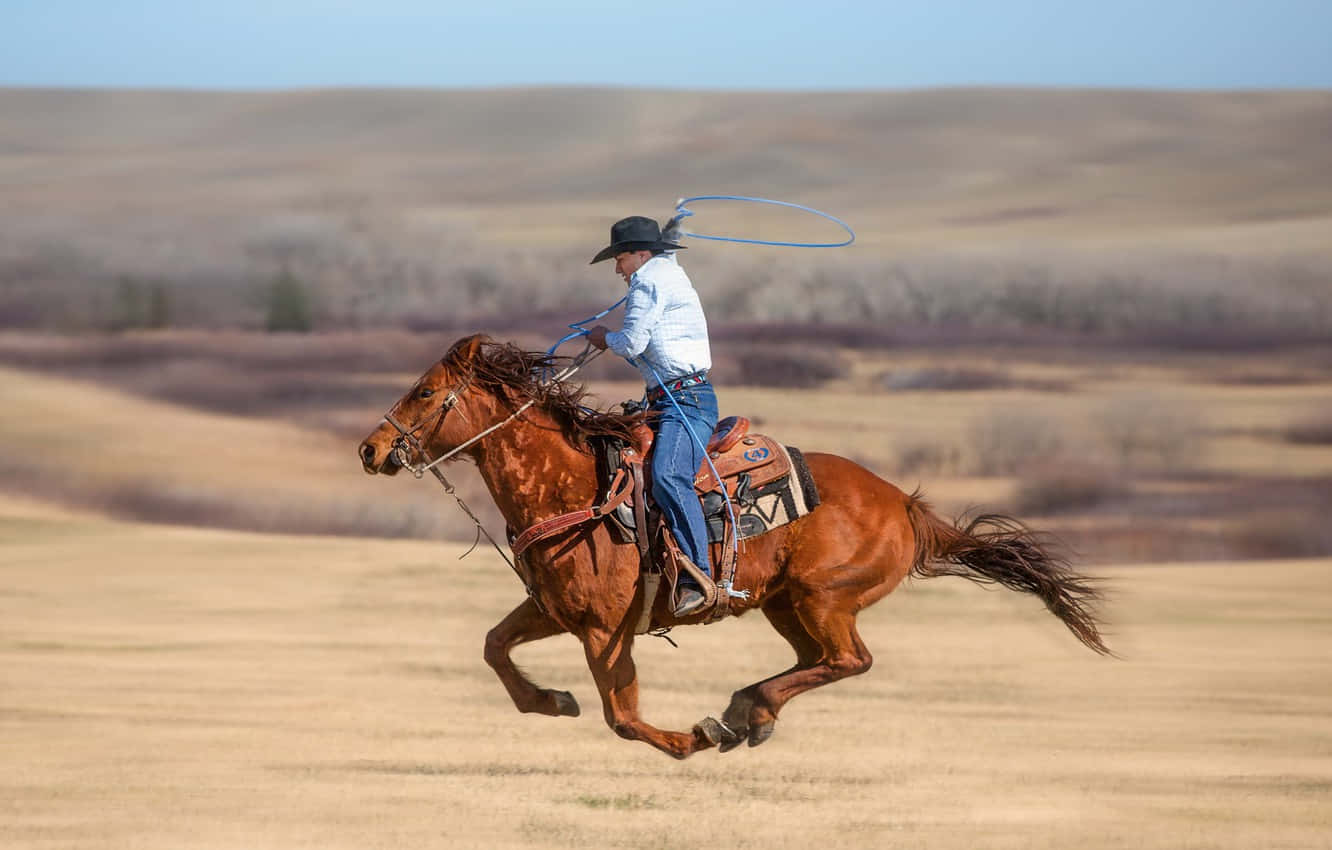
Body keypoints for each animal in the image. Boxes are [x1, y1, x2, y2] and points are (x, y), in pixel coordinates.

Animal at [359, 335, 1108, 762]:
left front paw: (690, 740)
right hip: (785, 605)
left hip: (824, 597)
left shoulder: (604, 630)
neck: (570, 488)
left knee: (850, 660)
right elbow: (495, 647)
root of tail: (905, 505)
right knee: (816, 662)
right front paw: (552, 701)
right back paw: (753, 711)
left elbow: (622, 717)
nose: (371, 448)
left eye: (425, 391)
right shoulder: (553, 610)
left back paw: (741, 712)